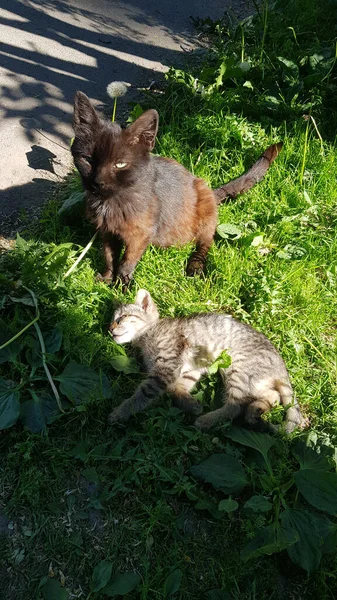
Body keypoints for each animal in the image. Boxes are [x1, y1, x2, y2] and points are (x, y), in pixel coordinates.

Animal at [71, 92, 280, 288]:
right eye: (88, 160)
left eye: (120, 164)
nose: (97, 182)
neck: (113, 201)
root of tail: (211, 191)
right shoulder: (106, 230)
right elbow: (109, 256)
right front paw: (107, 279)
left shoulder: (140, 234)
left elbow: (127, 261)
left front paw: (122, 285)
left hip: (205, 210)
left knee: (205, 242)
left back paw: (194, 266)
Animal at [109, 290, 306, 434]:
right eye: (112, 320)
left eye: (121, 318)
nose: (109, 329)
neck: (148, 334)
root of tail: (281, 367)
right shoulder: (190, 369)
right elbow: (176, 387)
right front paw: (191, 404)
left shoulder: (166, 368)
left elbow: (142, 395)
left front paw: (120, 412)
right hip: (254, 381)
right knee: (273, 395)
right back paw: (255, 410)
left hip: (238, 370)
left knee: (235, 406)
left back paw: (208, 420)